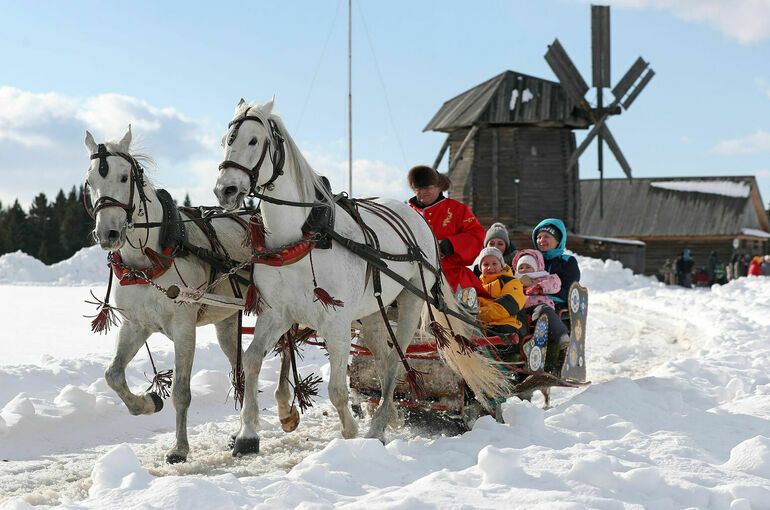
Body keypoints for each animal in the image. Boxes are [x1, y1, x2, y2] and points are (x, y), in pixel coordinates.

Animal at [84, 126, 254, 462]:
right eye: (90, 180)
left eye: (124, 177)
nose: (107, 233)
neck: (151, 256)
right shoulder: (136, 325)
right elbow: (113, 375)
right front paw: (147, 402)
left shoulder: (184, 327)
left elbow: (181, 392)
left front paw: (179, 447)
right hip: (228, 322)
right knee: (240, 369)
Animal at [213, 98, 508, 454]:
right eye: (226, 140)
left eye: (254, 141)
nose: (225, 190)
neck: (305, 236)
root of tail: (417, 216)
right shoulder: (276, 313)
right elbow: (252, 360)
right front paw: (247, 434)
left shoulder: (336, 322)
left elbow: (337, 389)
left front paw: (351, 434)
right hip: (372, 313)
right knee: (381, 359)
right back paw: (390, 414)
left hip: (410, 302)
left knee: (395, 362)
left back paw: (377, 427)